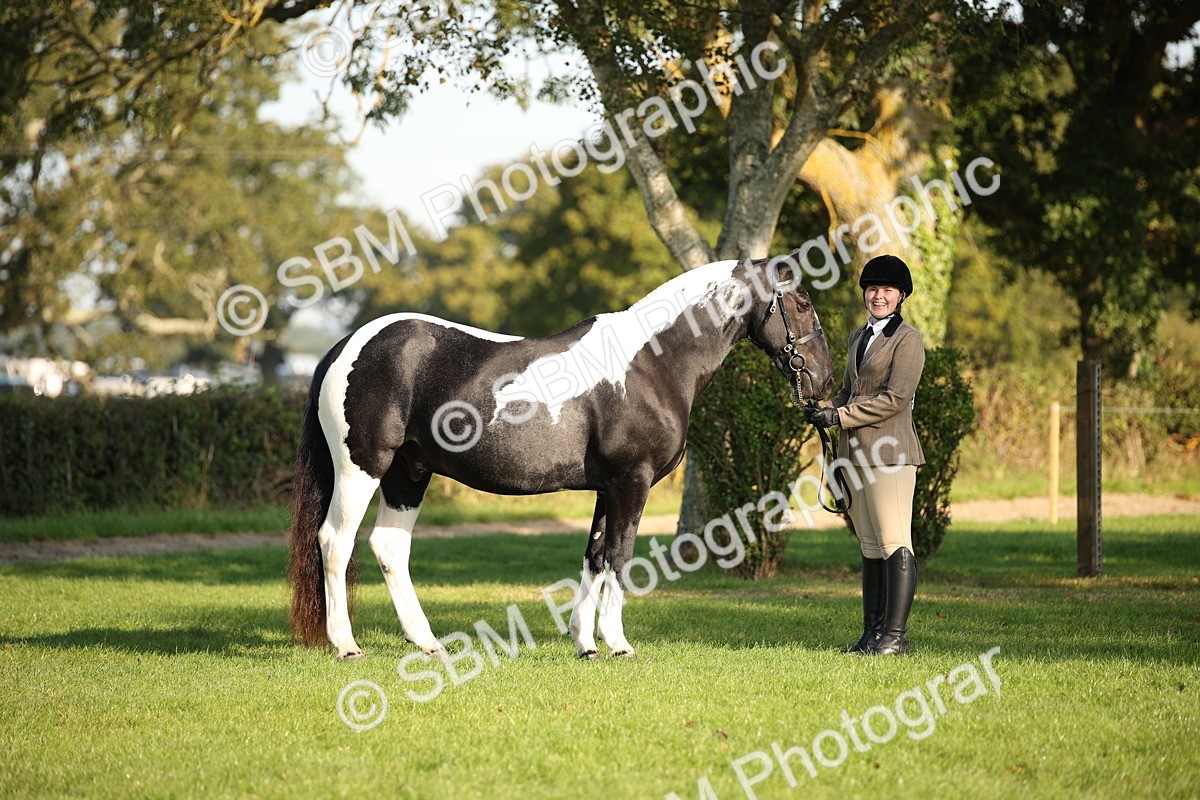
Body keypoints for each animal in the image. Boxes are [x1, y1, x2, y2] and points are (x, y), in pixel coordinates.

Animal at [287, 252, 836, 660]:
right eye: (802, 302)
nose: (824, 380)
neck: (650, 363)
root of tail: (347, 345)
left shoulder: (607, 488)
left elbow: (595, 556)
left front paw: (585, 643)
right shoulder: (631, 481)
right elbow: (621, 555)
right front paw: (618, 644)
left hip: (408, 473)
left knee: (389, 548)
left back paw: (427, 643)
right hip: (362, 468)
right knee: (335, 541)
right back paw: (346, 645)